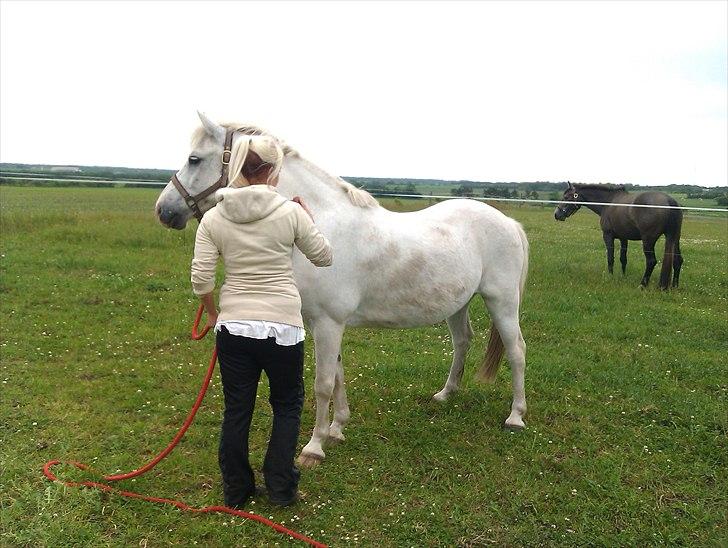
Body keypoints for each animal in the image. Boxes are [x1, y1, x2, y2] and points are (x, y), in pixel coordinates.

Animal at [155, 113, 528, 464]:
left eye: (194, 159)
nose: (164, 210)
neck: (322, 226)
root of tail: (510, 222)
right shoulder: (322, 323)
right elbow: (337, 375)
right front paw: (336, 429)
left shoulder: (329, 322)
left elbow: (322, 384)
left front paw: (314, 447)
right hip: (457, 304)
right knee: (463, 341)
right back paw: (446, 394)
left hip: (502, 301)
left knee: (516, 350)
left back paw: (516, 416)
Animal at [556, 183, 684, 288]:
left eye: (566, 197)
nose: (557, 214)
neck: (608, 202)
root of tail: (669, 201)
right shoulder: (624, 238)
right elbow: (623, 259)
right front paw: (623, 276)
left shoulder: (608, 236)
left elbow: (610, 258)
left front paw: (610, 276)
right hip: (674, 238)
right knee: (678, 260)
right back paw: (675, 286)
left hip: (648, 241)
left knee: (651, 261)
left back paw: (642, 285)